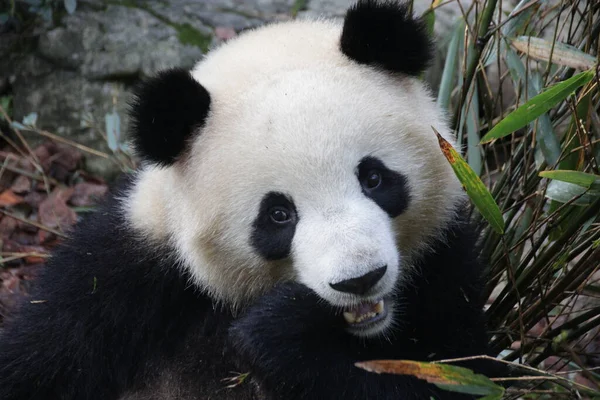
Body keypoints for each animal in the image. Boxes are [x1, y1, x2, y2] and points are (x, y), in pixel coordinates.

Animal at [0, 1, 492, 398]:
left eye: (373, 178)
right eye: (278, 214)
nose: (359, 280)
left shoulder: (446, 265)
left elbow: (459, 376)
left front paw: (284, 329)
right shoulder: (118, 278)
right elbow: (38, 357)